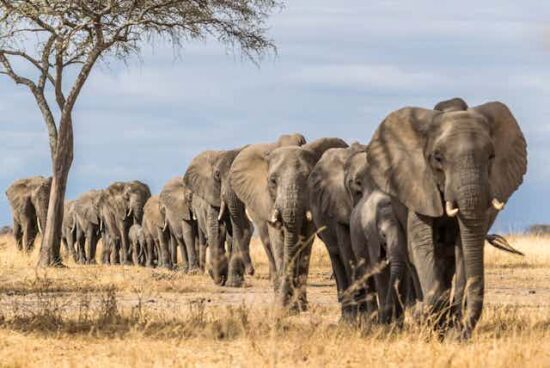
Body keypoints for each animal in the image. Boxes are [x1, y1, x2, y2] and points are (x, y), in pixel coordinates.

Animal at [233, 137, 350, 310]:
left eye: (309, 178)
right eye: (273, 181)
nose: (286, 305)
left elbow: (305, 243)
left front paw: (299, 305)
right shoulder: (267, 201)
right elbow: (277, 240)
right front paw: (284, 305)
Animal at [366, 99, 532, 338]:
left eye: (491, 157)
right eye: (438, 158)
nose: (463, 333)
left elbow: (464, 245)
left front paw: (449, 329)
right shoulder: (419, 187)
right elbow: (421, 244)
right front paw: (425, 318)